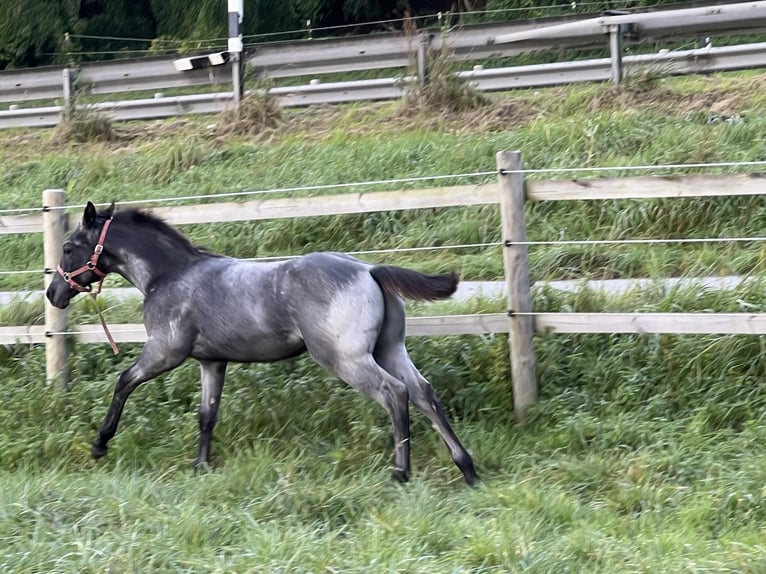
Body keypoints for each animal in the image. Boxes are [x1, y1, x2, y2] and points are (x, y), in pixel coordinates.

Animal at [45, 202, 476, 486]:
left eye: (68, 248)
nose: (53, 294)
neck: (169, 276)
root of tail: (368, 269)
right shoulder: (211, 362)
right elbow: (207, 415)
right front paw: (201, 466)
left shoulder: (164, 352)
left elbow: (123, 382)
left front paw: (100, 444)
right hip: (390, 349)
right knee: (423, 393)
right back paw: (467, 467)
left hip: (347, 359)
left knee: (395, 393)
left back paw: (400, 472)